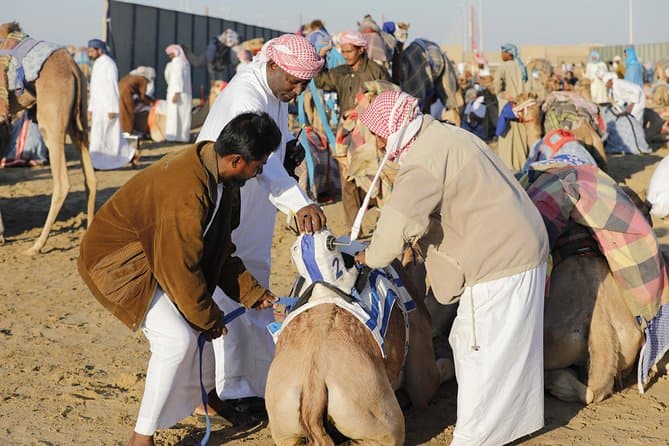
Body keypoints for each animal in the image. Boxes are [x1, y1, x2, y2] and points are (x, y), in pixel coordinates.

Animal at [0, 22, 94, 255]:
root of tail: (73, 67)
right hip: (79, 122)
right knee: (90, 178)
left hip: (51, 123)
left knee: (62, 183)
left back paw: (36, 246)